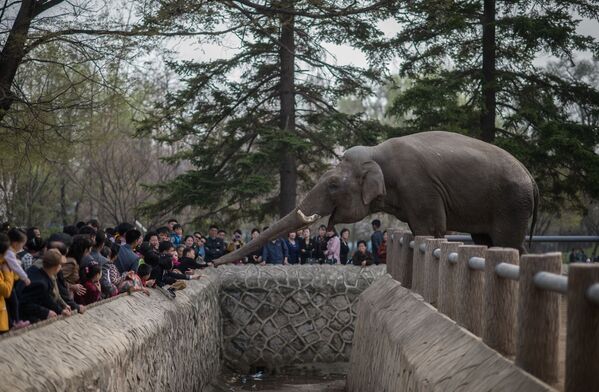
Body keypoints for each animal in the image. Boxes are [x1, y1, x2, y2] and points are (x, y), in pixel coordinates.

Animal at [214, 130, 540, 264]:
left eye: (333, 185)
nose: (211, 265)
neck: (376, 153)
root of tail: (532, 177)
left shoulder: (420, 187)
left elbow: (430, 230)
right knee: (488, 241)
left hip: (511, 203)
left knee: (507, 243)